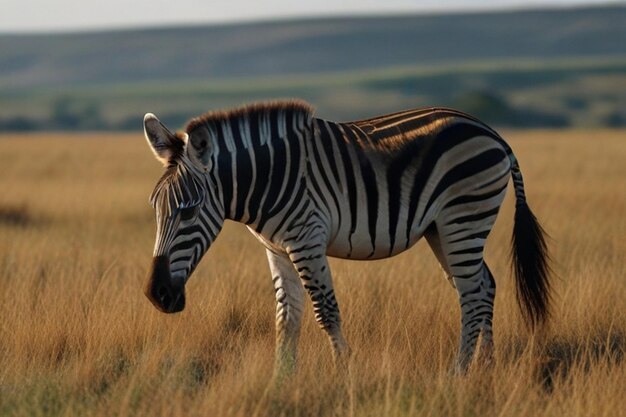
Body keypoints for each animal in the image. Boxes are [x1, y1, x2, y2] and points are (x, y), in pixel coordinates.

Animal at [141, 101, 544, 374]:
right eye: (155, 209)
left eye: (189, 212)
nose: (156, 295)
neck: (267, 178)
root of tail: (491, 133)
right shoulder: (277, 249)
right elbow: (286, 316)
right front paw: (280, 383)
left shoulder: (306, 240)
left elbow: (326, 312)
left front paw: (342, 373)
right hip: (443, 229)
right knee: (482, 285)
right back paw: (485, 367)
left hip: (464, 217)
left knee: (472, 293)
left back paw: (459, 374)